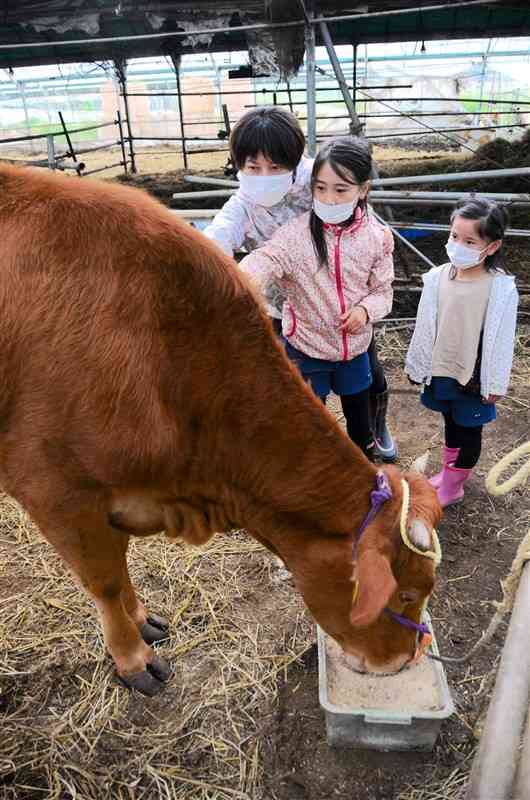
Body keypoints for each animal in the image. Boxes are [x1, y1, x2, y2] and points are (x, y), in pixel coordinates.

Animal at [0, 164, 440, 692]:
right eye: (404, 593)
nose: (402, 662)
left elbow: (121, 570)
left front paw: (142, 619)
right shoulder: (54, 490)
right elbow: (103, 580)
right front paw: (132, 657)